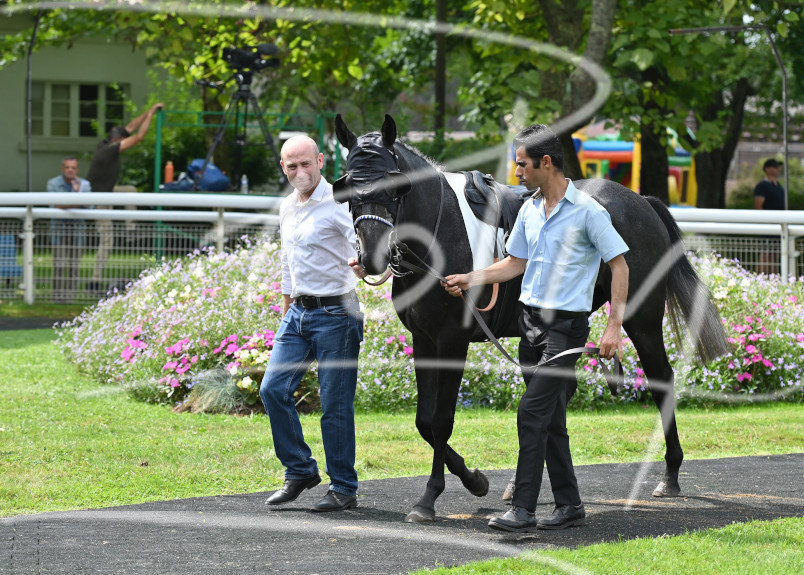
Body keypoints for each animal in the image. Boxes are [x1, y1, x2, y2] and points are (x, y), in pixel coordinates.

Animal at [334, 114, 728, 524]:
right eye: (345, 185)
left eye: (394, 184)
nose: (371, 256)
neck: (439, 233)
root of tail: (643, 202)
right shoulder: (424, 338)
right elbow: (425, 421)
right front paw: (474, 479)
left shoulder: (451, 340)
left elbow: (441, 420)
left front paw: (431, 497)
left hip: (642, 320)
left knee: (661, 380)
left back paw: (670, 474)